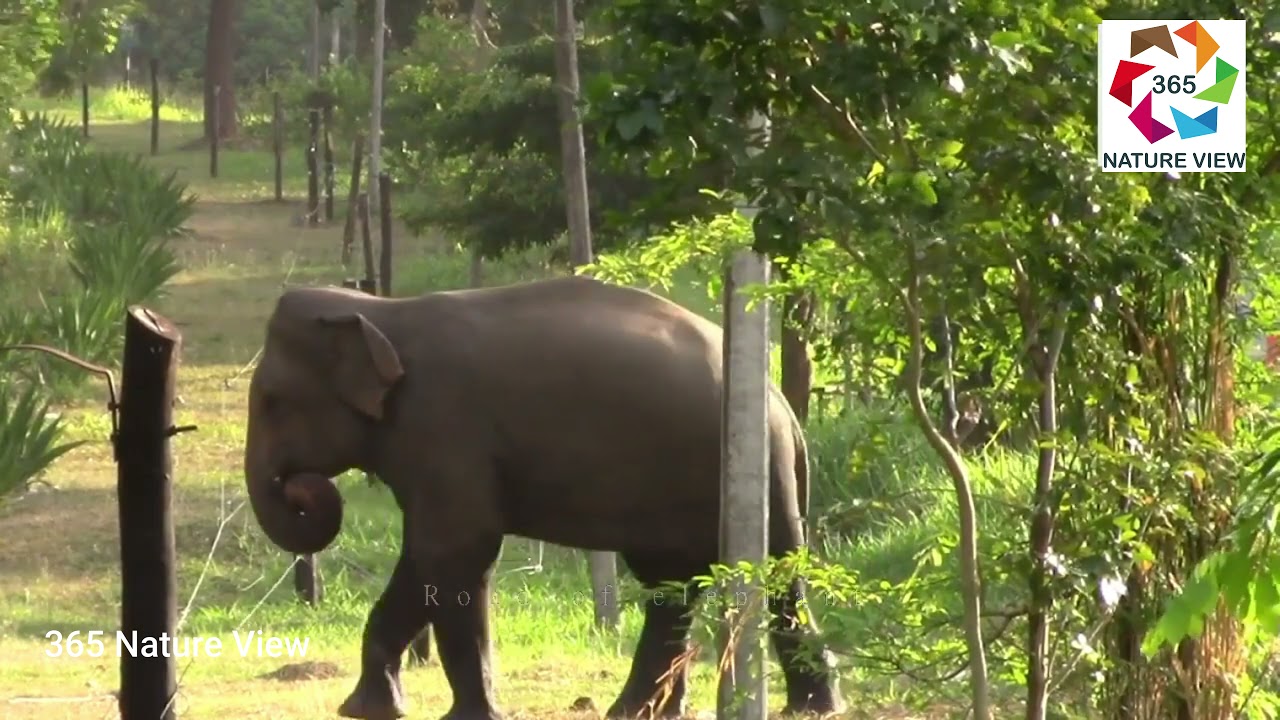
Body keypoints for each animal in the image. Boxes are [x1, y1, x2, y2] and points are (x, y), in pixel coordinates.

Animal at [242, 275, 844, 720]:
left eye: (271, 400)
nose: (300, 486)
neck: (382, 313)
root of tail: (782, 406)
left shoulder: (446, 429)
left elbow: (452, 552)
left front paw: (461, 717)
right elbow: (434, 560)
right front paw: (367, 710)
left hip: (754, 471)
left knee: (772, 573)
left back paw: (811, 709)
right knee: (671, 585)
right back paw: (641, 712)